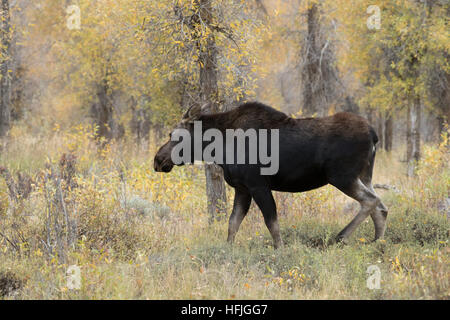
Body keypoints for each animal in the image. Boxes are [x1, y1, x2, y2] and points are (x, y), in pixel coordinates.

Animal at [154, 101, 386, 249]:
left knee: (371, 200)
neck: (219, 148)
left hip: (341, 176)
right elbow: (233, 223)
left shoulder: (258, 185)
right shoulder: (242, 188)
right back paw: (377, 243)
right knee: (381, 206)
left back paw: (341, 237)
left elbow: (271, 222)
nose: (157, 160)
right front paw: (228, 249)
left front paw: (280, 250)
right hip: (364, 176)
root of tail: (374, 135)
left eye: (174, 135)